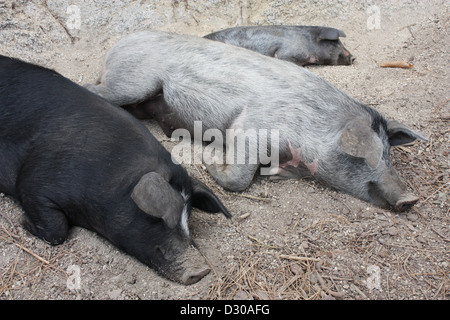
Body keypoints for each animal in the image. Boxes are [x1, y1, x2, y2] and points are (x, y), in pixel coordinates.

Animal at [0, 55, 230, 284]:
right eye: (158, 218)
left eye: (188, 215)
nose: (201, 270)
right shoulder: (35, 183)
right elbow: (56, 230)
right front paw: (23, 221)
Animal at [86, 31, 428, 212]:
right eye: (363, 155)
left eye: (388, 155)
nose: (410, 198)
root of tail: (116, 45)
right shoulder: (249, 126)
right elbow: (239, 177)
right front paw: (208, 159)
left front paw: (273, 174)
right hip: (132, 81)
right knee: (94, 89)